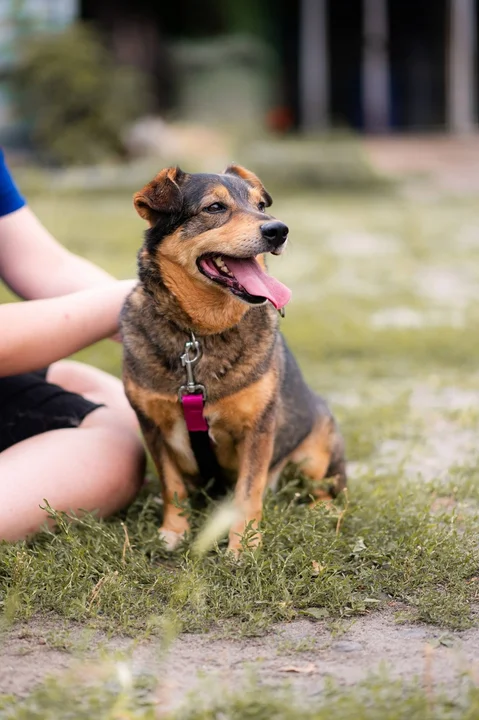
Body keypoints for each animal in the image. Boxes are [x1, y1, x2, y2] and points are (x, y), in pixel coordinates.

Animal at [120, 165, 344, 552]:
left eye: (260, 205)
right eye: (214, 207)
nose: (278, 230)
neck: (200, 333)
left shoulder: (258, 427)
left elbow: (249, 492)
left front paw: (245, 545)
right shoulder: (152, 425)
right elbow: (171, 485)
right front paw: (174, 531)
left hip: (315, 452)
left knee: (322, 488)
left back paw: (323, 509)